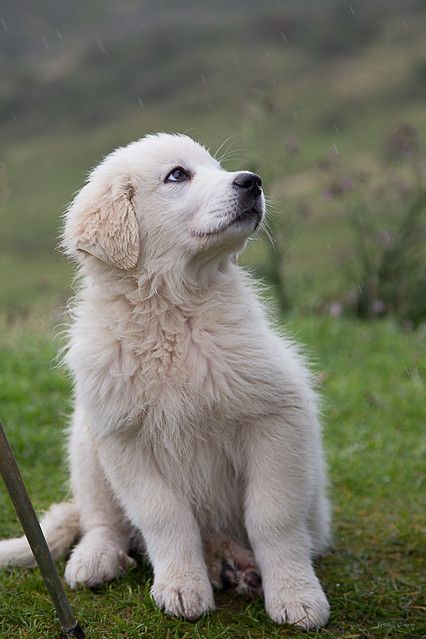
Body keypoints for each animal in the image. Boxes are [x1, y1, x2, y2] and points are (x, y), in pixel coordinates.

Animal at [0, 134, 332, 632]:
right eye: (178, 175)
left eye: (216, 167)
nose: (252, 181)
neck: (170, 312)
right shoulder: (125, 441)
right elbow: (165, 518)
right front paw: (181, 587)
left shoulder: (275, 421)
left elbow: (272, 517)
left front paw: (296, 596)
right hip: (86, 440)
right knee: (99, 518)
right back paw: (98, 559)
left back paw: (237, 565)